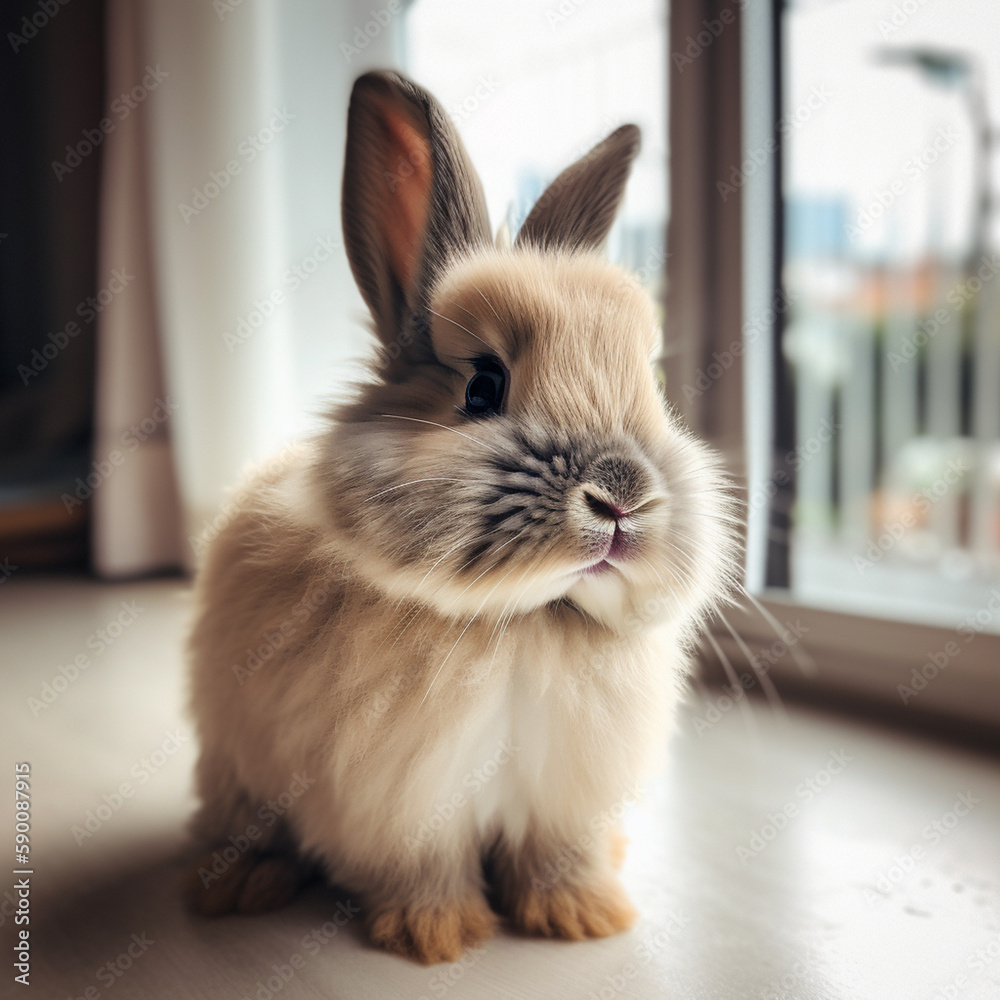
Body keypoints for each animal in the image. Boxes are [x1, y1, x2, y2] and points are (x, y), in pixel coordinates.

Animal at [184, 69, 739, 965]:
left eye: (653, 385)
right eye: (482, 387)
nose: (622, 494)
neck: (519, 622)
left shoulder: (563, 803)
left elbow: (559, 857)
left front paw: (582, 917)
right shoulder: (400, 805)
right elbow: (424, 868)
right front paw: (437, 933)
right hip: (236, 770)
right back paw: (236, 887)